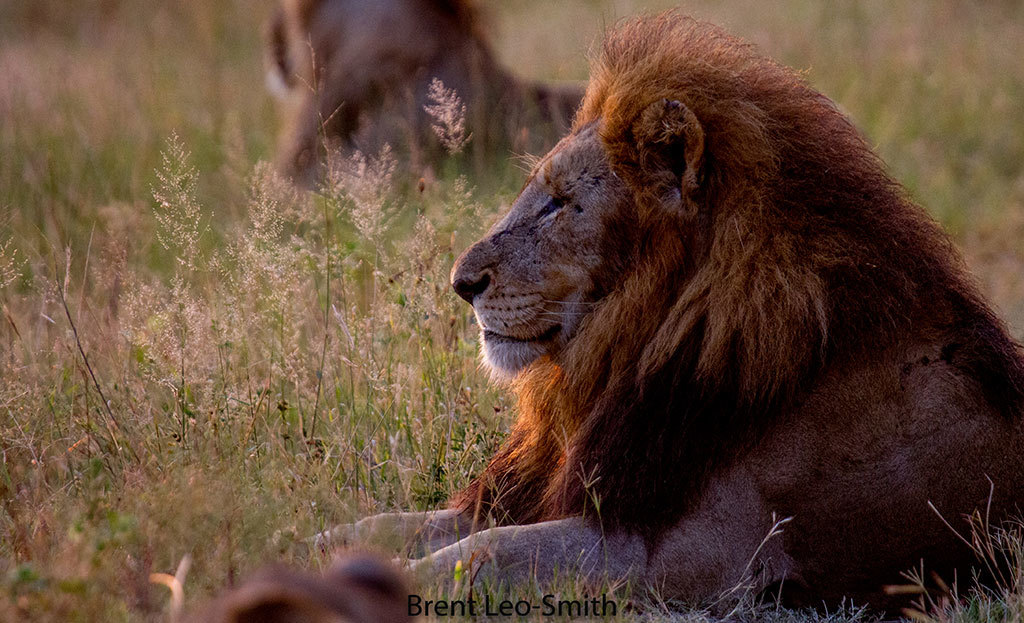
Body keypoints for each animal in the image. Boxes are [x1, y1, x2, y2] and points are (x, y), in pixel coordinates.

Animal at [319, 10, 1024, 614]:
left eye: (558, 203)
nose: (461, 284)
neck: (634, 345)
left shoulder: (698, 555)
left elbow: (486, 552)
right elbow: (400, 523)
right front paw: (316, 541)